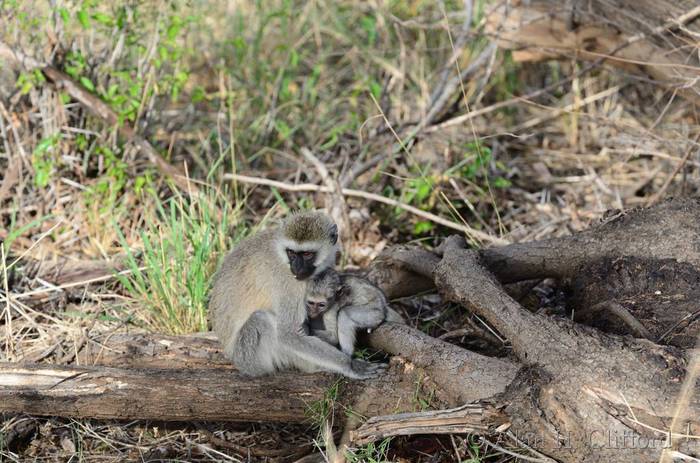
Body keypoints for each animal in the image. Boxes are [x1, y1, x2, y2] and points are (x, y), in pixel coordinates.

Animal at [209, 210, 385, 379]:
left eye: (307, 254)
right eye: (292, 253)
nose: (297, 268)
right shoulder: (289, 283)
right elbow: (289, 335)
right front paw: (350, 365)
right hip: (249, 359)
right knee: (261, 319)